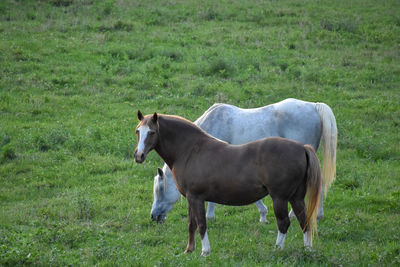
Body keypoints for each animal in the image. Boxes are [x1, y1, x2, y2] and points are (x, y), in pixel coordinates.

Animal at [134, 110, 322, 255]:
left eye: (151, 132)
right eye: (138, 131)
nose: (138, 155)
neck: (190, 150)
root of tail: (302, 148)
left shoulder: (196, 197)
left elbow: (201, 224)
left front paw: (205, 252)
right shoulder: (190, 198)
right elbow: (191, 224)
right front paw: (189, 250)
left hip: (280, 198)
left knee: (284, 223)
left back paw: (277, 249)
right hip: (296, 198)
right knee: (304, 221)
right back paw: (308, 250)